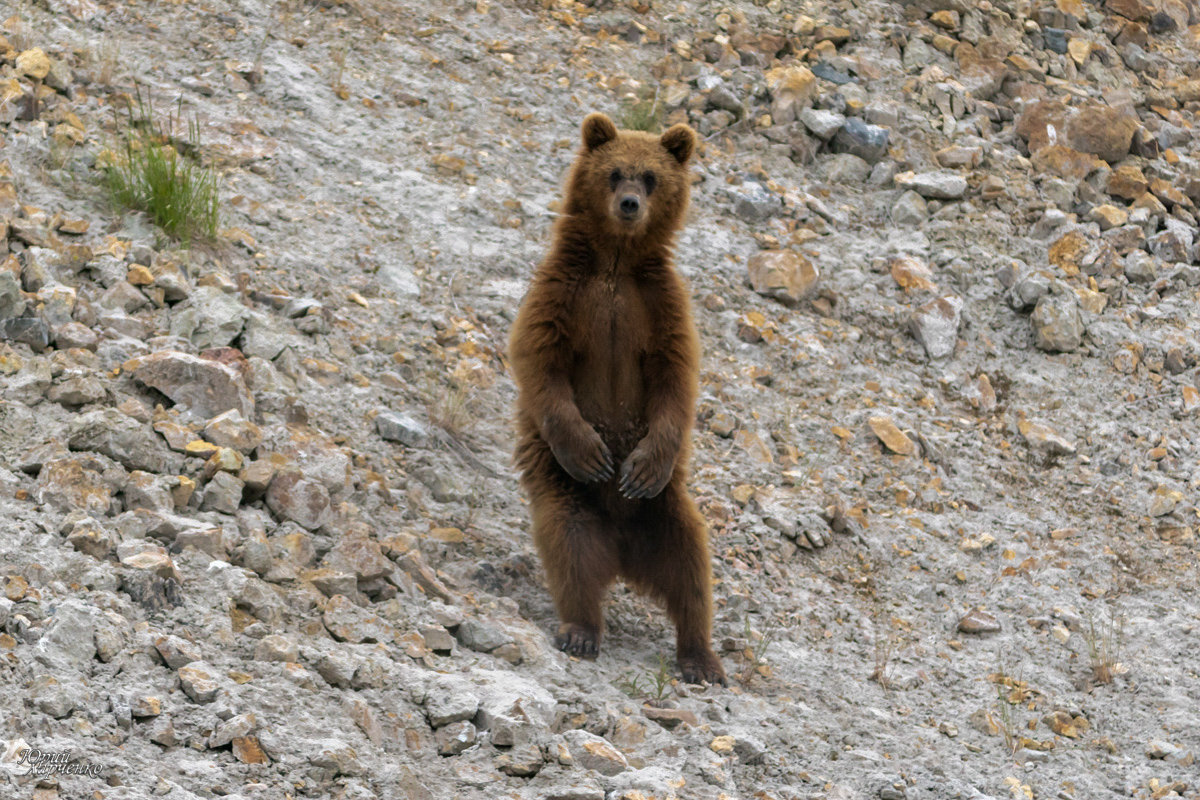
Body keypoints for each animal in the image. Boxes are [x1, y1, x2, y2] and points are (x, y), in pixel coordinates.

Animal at [506, 110, 720, 690]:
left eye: (650, 177)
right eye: (614, 172)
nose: (629, 204)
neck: (616, 264)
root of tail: (625, 551)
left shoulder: (660, 306)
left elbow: (677, 381)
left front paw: (640, 465)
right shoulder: (562, 294)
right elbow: (541, 362)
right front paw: (592, 451)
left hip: (667, 509)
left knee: (692, 569)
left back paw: (701, 657)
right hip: (568, 495)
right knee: (571, 550)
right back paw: (581, 631)